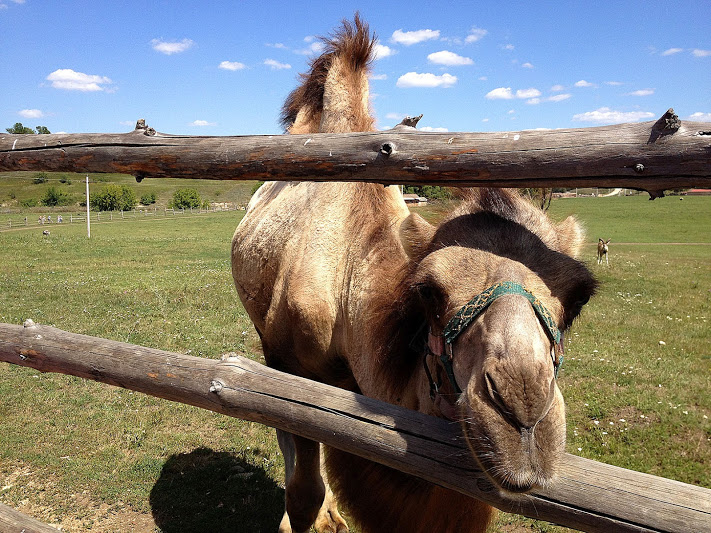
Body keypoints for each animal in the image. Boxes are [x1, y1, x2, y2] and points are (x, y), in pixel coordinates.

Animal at [231, 16, 596, 532]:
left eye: (580, 298)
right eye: (429, 292)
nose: (524, 413)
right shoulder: (286, 358)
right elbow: (300, 477)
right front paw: (304, 515)